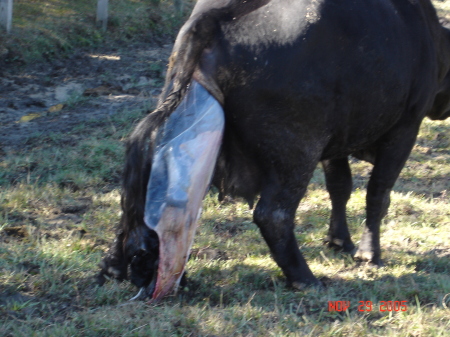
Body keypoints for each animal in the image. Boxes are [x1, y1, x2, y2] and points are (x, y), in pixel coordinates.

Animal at [97, 0, 450, 300]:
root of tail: (212, 18)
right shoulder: (404, 130)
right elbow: (377, 194)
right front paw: (369, 253)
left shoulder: (336, 141)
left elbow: (340, 187)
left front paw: (339, 240)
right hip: (296, 152)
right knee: (273, 215)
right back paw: (305, 279)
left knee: (132, 202)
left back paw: (115, 266)